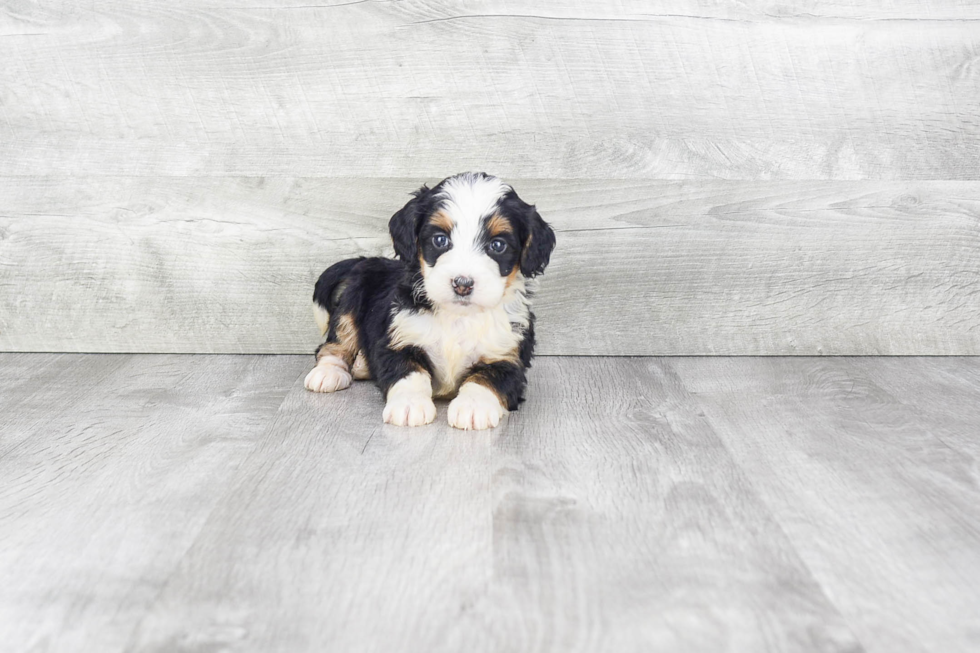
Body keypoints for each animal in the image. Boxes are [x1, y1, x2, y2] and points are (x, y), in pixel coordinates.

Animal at [302, 171, 556, 430]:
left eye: (498, 245)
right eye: (440, 240)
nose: (462, 283)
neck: (458, 317)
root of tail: (369, 260)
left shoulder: (507, 354)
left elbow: (487, 378)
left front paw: (473, 407)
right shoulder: (399, 337)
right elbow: (409, 371)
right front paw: (409, 405)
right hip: (352, 304)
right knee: (335, 343)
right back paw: (329, 373)